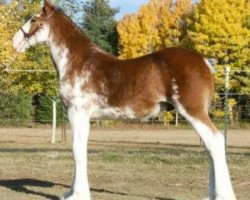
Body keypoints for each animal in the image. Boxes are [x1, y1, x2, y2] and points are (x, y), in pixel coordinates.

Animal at [12, 0, 236, 200]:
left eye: (33, 19)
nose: (14, 42)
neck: (78, 61)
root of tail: (205, 61)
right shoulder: (79, 116)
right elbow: (80, 149)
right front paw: (71, 192)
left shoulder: (78, 113)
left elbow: (77, 150)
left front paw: (77, 195)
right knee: (209, 147)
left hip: (193, 111)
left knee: (215, 142)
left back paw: (223, 195)